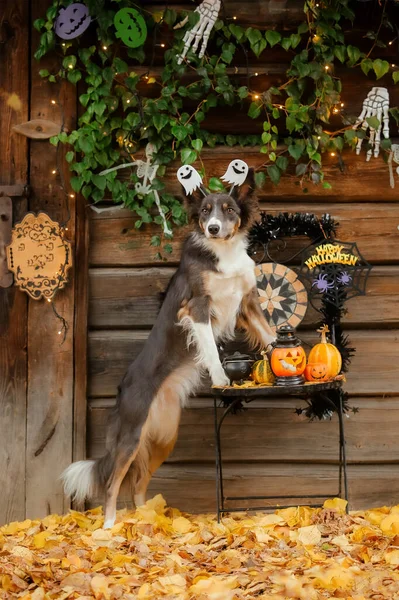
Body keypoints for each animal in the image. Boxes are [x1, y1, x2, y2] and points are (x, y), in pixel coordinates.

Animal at [63, 162, 276, 528]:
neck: (223, 252)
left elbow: (270, 334)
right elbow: (211, 350)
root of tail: (123, 388)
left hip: (164, 437)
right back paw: (109, 528)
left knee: (138, 483)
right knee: (114, 483)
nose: (214, 228)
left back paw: (151, 522)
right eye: (204, 211)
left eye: (229, 209)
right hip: (131, 436)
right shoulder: (196, 307)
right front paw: (222, 380)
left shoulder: (246, 302)